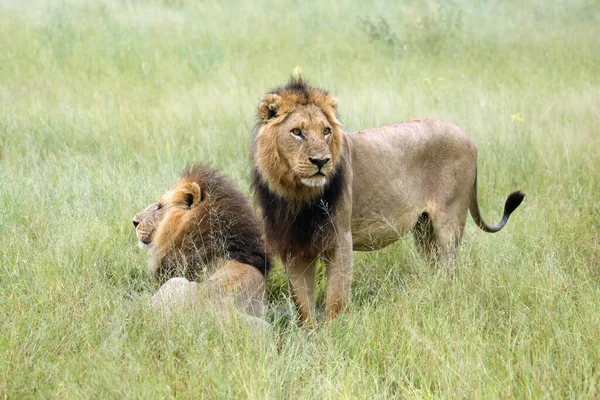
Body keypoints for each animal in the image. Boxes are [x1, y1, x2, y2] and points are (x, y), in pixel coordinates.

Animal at [251, 77, 524, 324]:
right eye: (297, 132)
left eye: (326, 131)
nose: (321, 162)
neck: (297, 195)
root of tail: (468, 137)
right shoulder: (294, 246)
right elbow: (303, 304)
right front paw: (311, 336)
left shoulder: (340, 238)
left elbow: (336, 299)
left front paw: (335, 334)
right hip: (424, 231)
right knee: (435, 267)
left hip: (449, 224)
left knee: (450, 269)